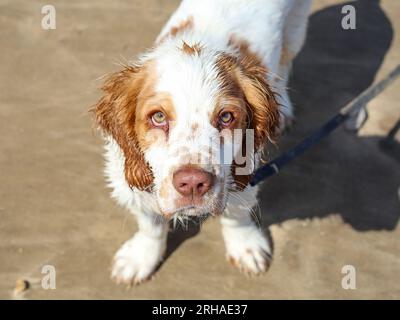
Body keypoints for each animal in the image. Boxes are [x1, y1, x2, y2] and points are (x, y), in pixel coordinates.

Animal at [92, 0, 310, 284]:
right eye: (158, 117)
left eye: (226, 117)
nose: (193, 183)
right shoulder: (129, 181)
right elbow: (150, 224)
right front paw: (140, 259)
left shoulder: (243, 170)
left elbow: (236, 215)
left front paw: (246, 247)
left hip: (296, 29)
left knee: (285, 65)